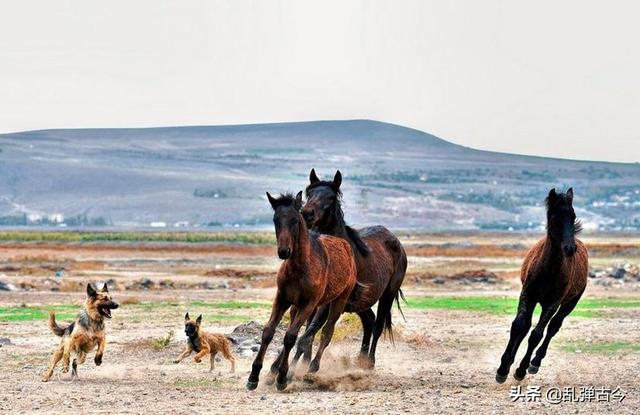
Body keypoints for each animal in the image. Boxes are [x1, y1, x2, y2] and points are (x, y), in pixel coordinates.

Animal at [246, 193, 358, 394]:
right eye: (275, 219)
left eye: (295, 220)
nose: (284, 251)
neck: (300, 267)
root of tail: (346, 246)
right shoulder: (282, 299)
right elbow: (268, 332)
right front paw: (254, 377)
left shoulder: (309, 303)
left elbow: (291, 336)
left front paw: (282, 379)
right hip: (299, 306)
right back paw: (274, 372)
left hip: (337, 301)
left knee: (326, 332)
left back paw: (311, 369)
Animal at [496, 188, 592, 384]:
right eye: (555, 217)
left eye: (573, 215)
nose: (570, 248)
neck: (549, 270)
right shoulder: (527, 295)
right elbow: (518, 326)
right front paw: (503, 368)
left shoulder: (552, 304)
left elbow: (537, 335)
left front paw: (521, 369)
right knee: (526, 326)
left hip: (570, 303)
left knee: (553, 327)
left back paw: (535, 362)